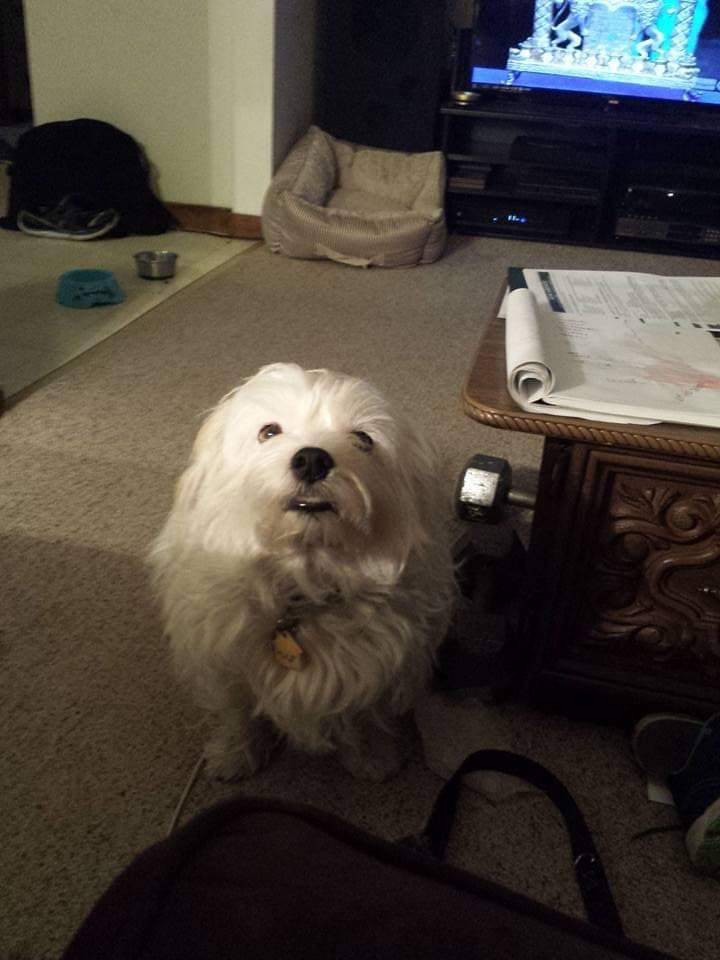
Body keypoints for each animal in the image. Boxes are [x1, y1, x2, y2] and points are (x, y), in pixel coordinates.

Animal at [149, 363, 455, 781]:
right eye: (269, 431)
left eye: (363, 439)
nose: (312, 459)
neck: (302, 582)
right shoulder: (226, 662)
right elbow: (238, 714)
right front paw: (234, 755)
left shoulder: (378, 667)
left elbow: (364, 717)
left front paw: (372, 758)